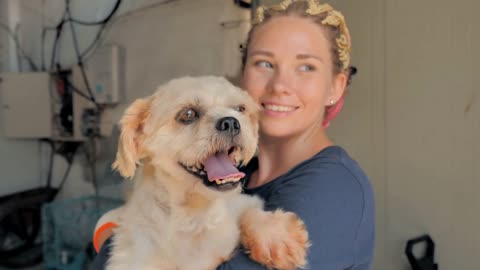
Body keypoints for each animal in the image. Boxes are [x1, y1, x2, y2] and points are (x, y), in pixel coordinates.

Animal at [107, 76, 310, 270]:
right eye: (188, 114)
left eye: (240, 109)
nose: (231, 122)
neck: (195, 216)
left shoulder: (244, 201)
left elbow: (249, 212)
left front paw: (277, 237)